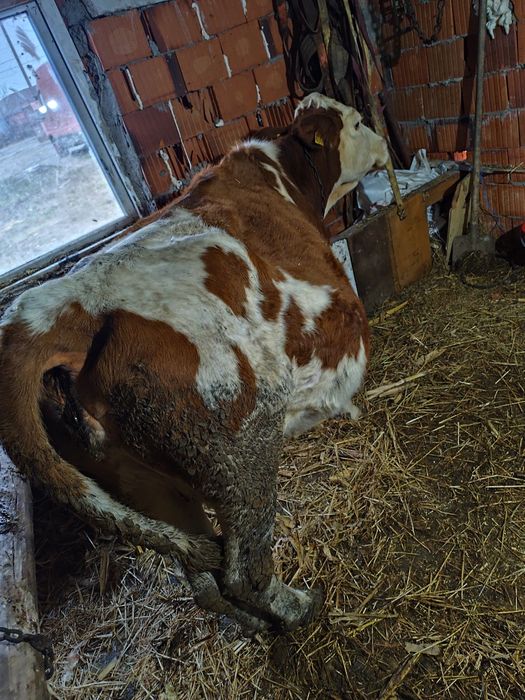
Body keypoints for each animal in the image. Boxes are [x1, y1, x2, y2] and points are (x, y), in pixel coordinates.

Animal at [0, 93, 388, 634]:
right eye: (355, 122)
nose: (384, 145)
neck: (283, 179)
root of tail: (58, 304)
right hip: (242, 451)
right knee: (243, 568)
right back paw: (297, 608)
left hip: (141, 481)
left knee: (203, 579)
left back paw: (248, 624)